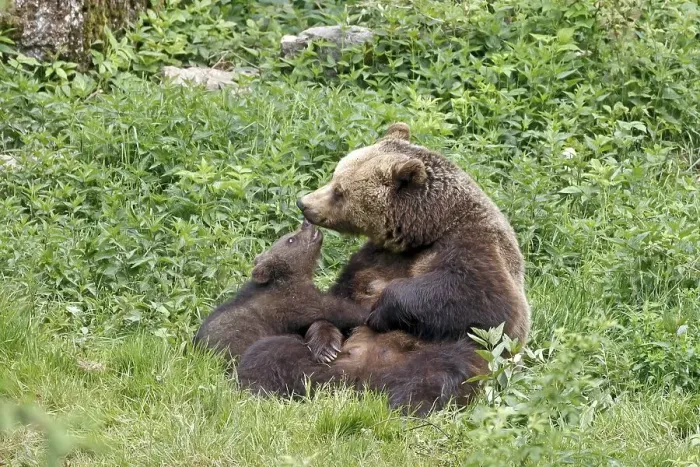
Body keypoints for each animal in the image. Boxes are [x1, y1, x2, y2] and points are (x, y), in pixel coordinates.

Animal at [237, 123, 530, 415]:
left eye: (339, 190)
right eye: (334, 176)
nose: (304, 203)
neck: (424, 233)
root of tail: (360, 382)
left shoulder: (475, 246)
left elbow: (482, 298)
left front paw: (380, 311)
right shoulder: (370, 260)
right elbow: (335, 304)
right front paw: (326, 343)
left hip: (447, 356)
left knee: (439, 374)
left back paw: (409, 404)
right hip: (316, 363)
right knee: (271, 353)